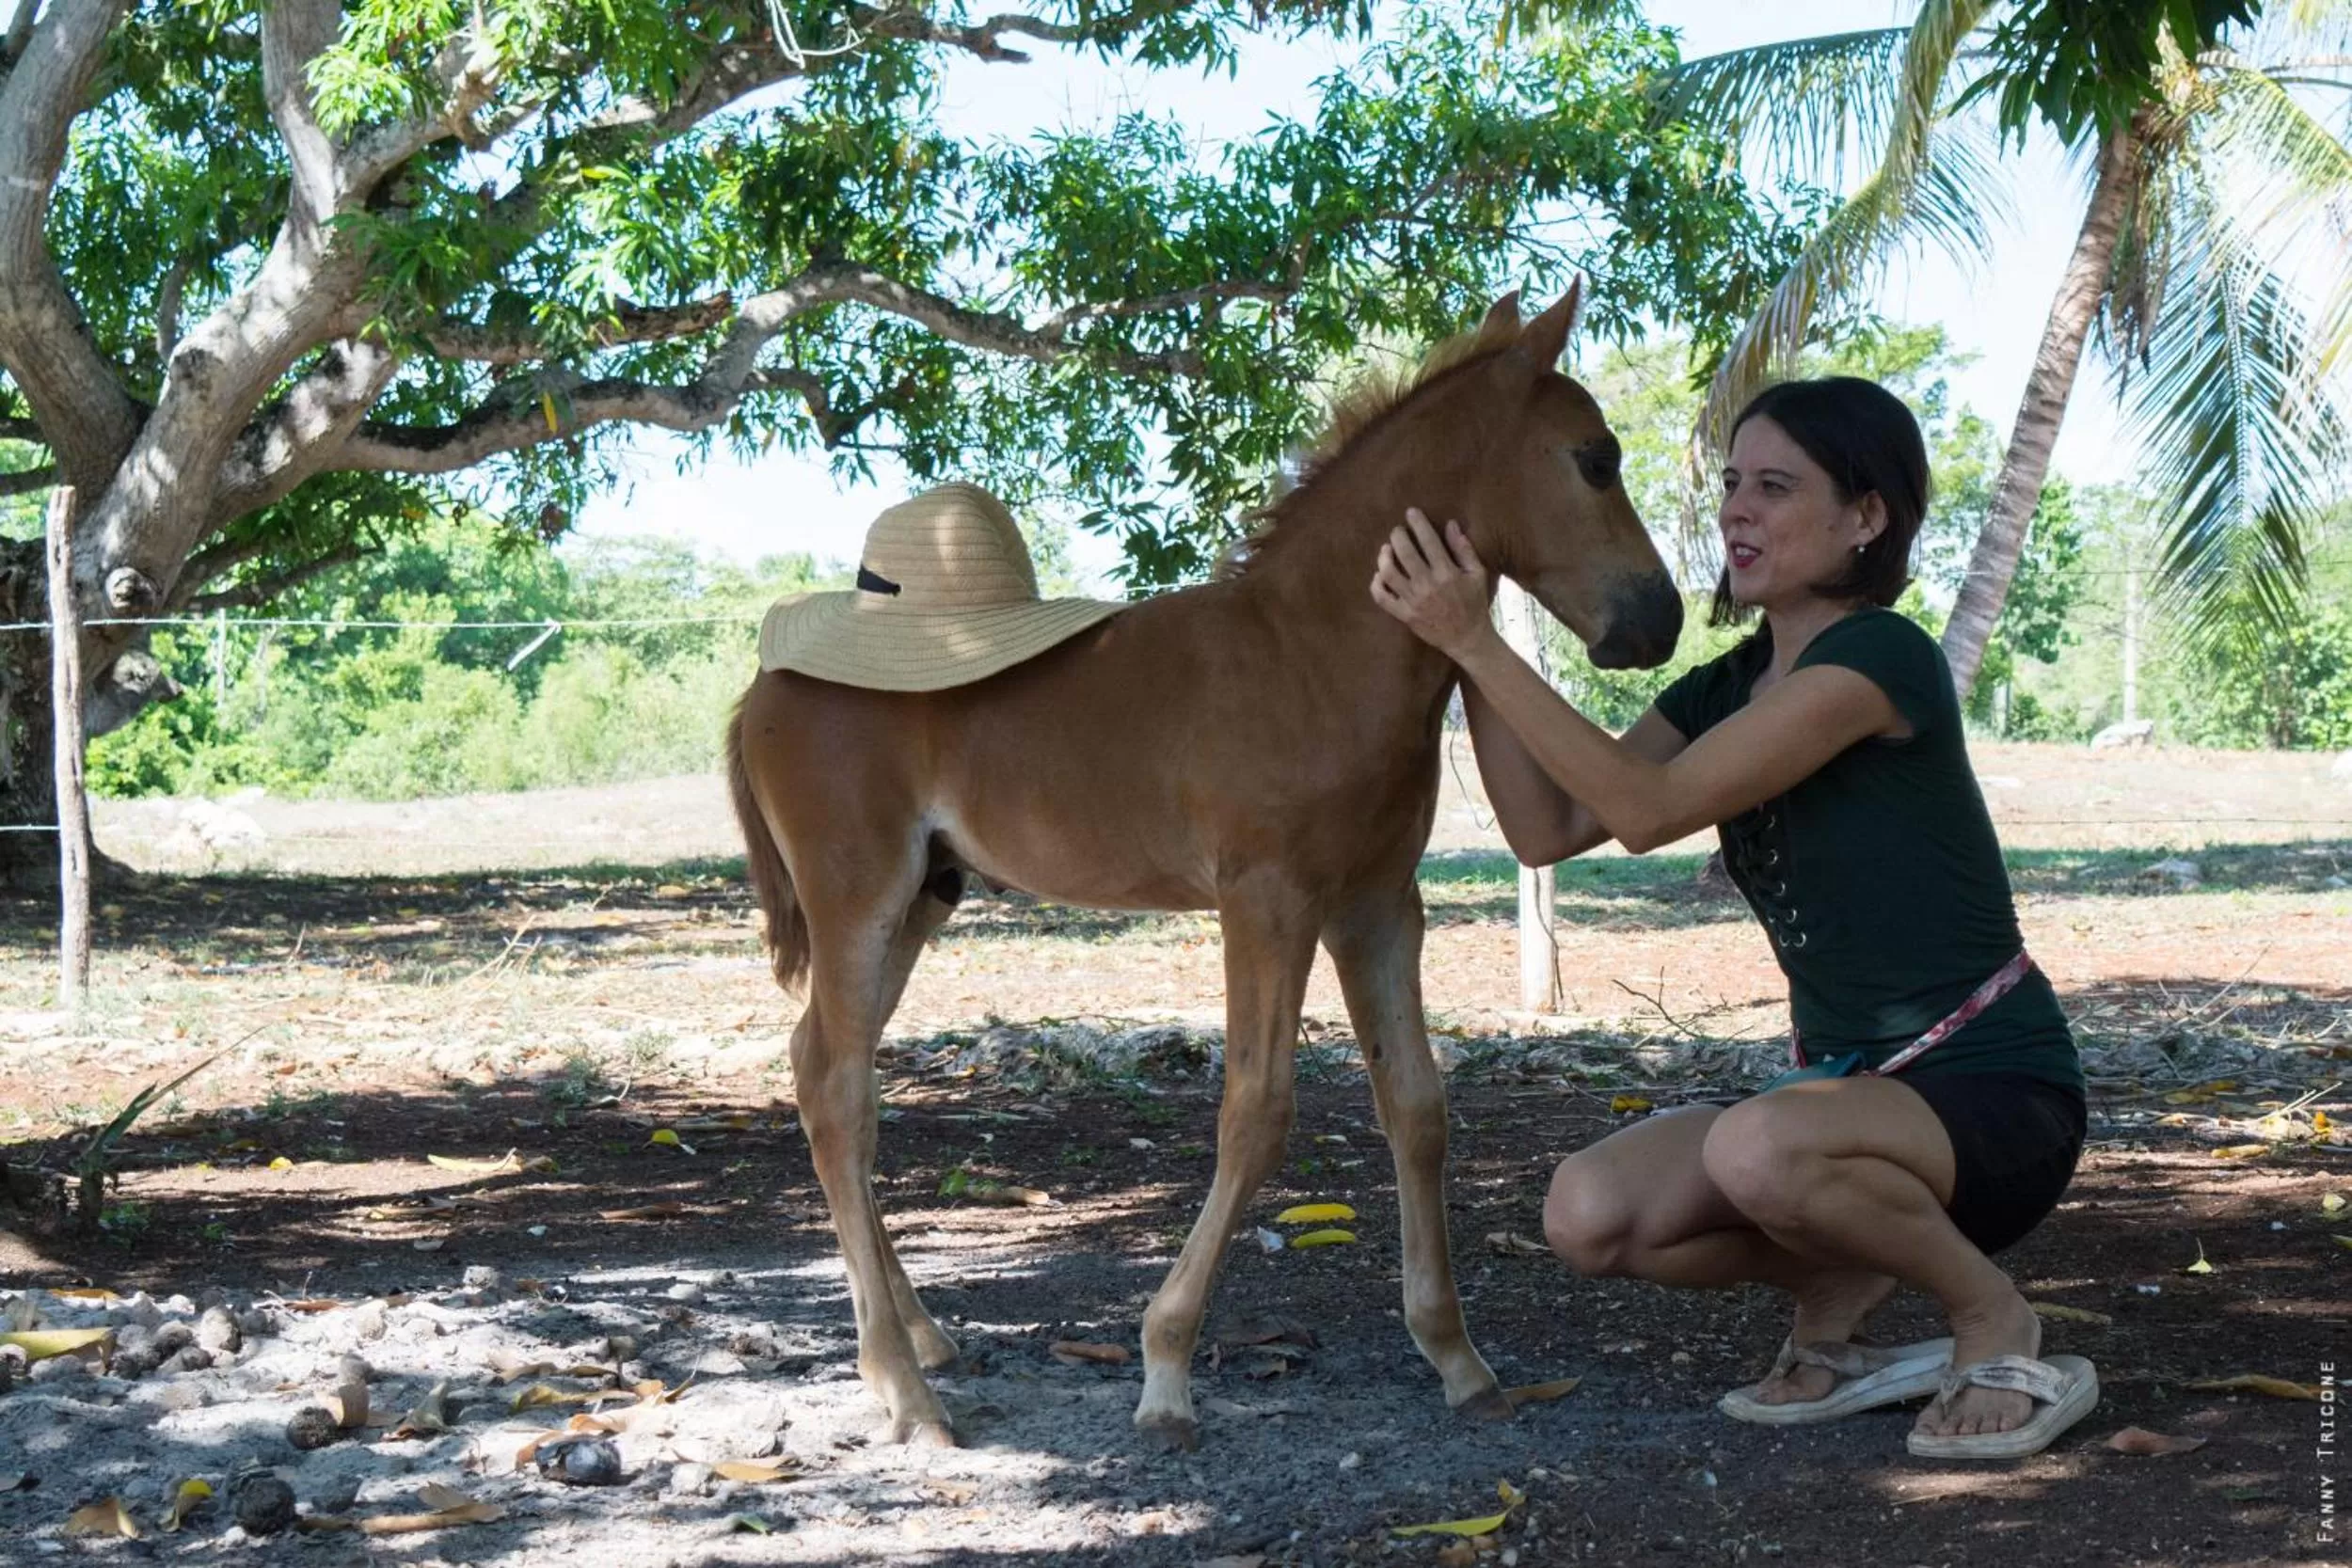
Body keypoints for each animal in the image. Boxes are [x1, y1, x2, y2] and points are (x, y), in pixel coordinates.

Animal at [727, 284, 1682, 1452]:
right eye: (1596, 458)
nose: (1660, 620)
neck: (1311, 651)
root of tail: (763, 685)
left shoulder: (1377, 904)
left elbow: (1415, 1105)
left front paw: (1456, 1356)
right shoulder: (1265, 900)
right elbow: (1255, 1111)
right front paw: (1166, 1366)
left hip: (920, 900)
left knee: (823, 1065)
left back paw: (919, 1340)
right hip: (856, 896)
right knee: (836, 1089)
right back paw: (905, 1388)